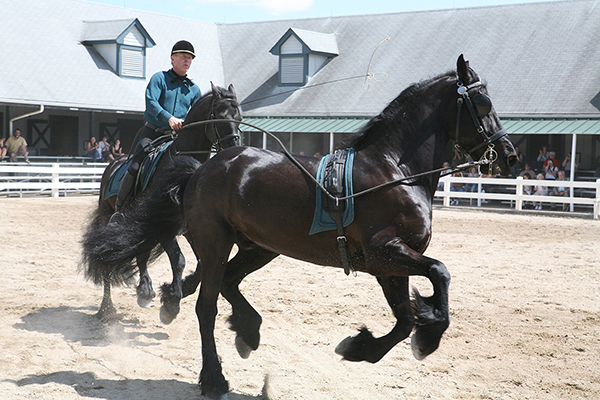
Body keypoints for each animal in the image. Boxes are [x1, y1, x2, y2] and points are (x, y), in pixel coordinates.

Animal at [79, 82, 241, 322]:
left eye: (239, 117)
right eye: (220, 116)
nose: (233, 147)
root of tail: (113, 164)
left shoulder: (189, 228)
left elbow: (201, 263)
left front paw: (181, 290)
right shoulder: (165, 227)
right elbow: (179, 259)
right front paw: (172, 303)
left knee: (141, 253)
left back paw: (144, 291)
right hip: (110, 217)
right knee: (108, 255)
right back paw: (106, 308)